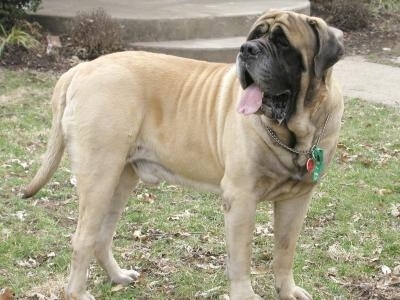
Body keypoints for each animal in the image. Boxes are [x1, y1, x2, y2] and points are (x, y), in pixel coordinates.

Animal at [23, 10, 344, 298]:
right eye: (254, 36)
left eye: (282, 43)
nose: (246, 49)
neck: (295, 133)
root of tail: (80, 69)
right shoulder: (241, 198)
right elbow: (241, 258)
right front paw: (245, 293)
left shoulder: (297, 200)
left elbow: (285, 251)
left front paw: (287, 291)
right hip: (99, 177)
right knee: (82, 239)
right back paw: (78, 292)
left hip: (119, 180)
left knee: (101, 236)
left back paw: (118, 276)